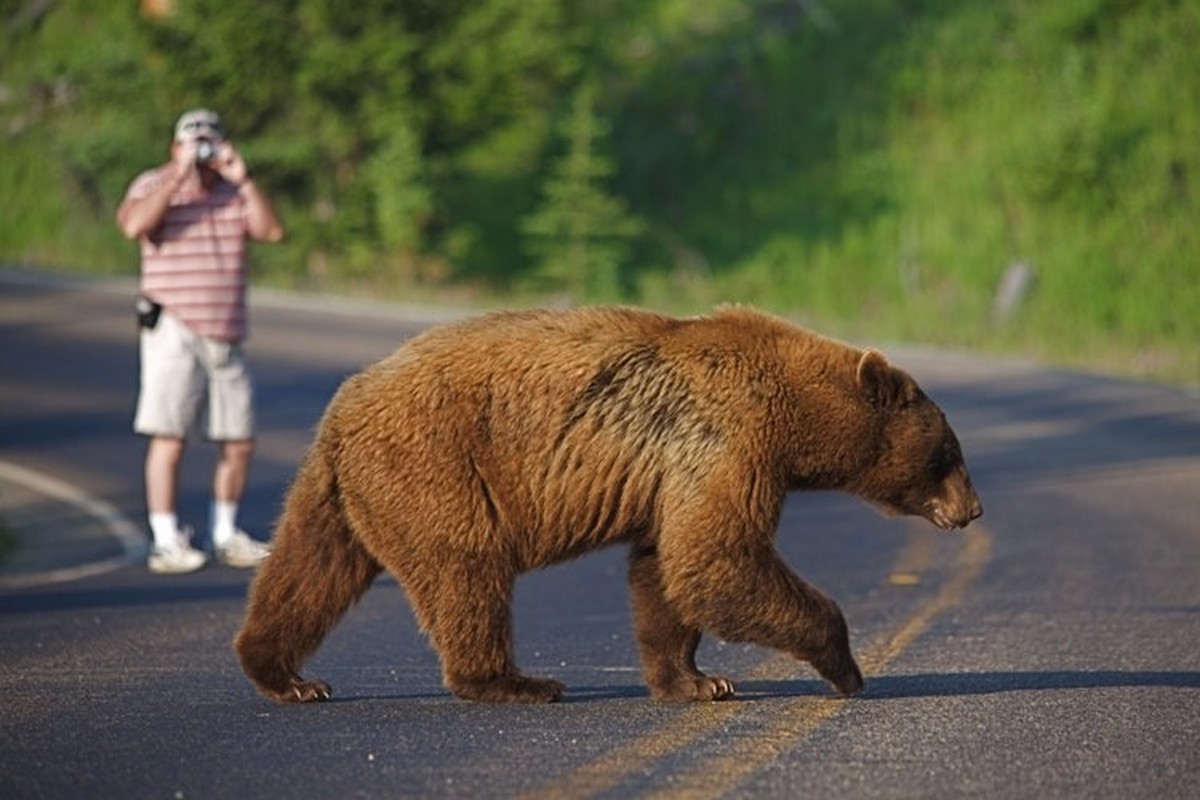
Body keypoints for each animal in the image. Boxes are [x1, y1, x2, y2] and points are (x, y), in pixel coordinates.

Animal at [236, 303, 984, 705]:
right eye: (949, 453)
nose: (973, 510)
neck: (796, 417)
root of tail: (342, 408)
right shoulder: (726, 439)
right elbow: (717, 558)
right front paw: (846, 666)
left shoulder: (674, 472)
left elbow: (666, 570)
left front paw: (696, 680)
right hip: (436, 466)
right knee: (466, 569)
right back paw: (515, 680)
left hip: (345, 489)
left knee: (310, 570)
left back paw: (285, 674)